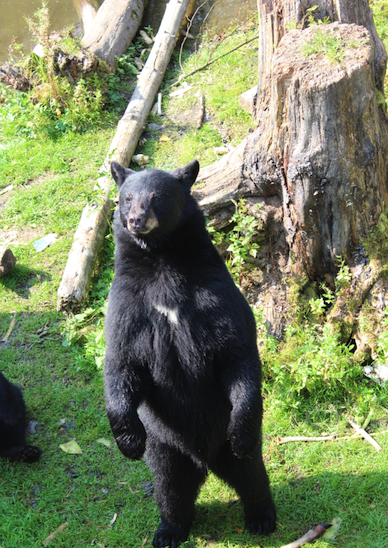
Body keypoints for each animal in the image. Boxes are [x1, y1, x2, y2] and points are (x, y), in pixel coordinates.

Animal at [104, 158, 276, 548]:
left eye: (157, 196)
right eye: (126, 197)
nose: (135, 219)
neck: (162, 263)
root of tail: (205, 462)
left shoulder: (214, 294)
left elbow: (237, 353)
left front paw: (242, 430)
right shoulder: (128, 305)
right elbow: (122, 363)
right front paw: (129, 442)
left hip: (228, 449)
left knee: (251, 474)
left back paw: (262, 517)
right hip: (165, 446)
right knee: (171, 488)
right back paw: (169, 530)